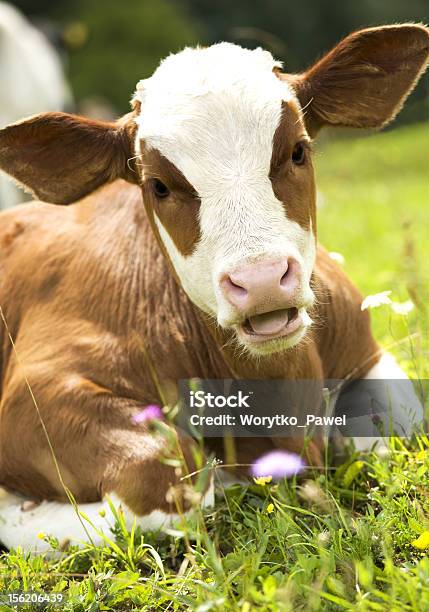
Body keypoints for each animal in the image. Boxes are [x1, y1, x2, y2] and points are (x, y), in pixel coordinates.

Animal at [0, 23, 428, 548]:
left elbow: (390, 425)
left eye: (298, 150)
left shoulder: (366, 352)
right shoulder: (32, 395)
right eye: (159, 185)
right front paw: (17, 507)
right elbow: (169, 485)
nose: (261, 280)